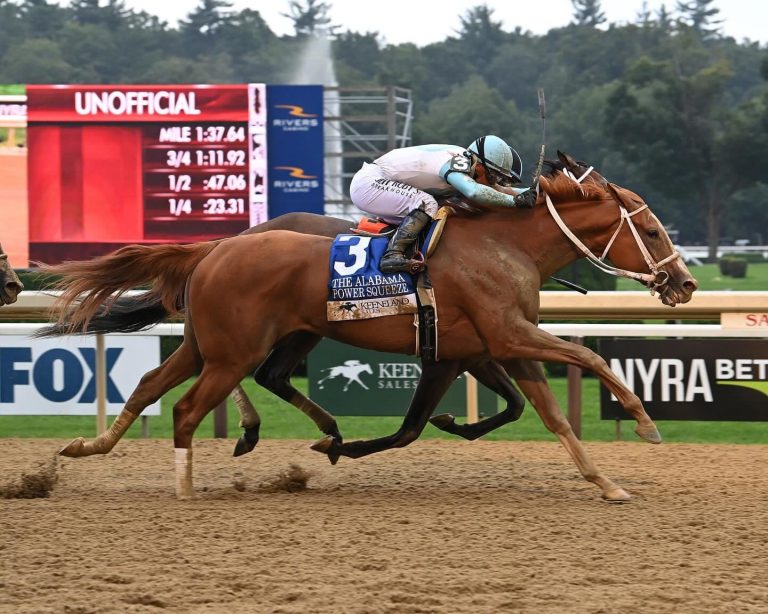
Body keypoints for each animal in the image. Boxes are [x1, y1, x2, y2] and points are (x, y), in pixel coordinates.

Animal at [41, 152, 698, 500]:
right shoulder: (507, 335)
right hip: (234, 350)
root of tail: (217, 249)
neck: (503, 244)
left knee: (154, 386)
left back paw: (84, 448)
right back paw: (190, 481)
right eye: (654, 231)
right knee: (188, 407)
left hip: (209, 345)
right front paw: (645, 425)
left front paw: (605, 482)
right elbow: (590, 358)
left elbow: (547, 414)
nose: (685, 284)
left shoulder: (482, 347)